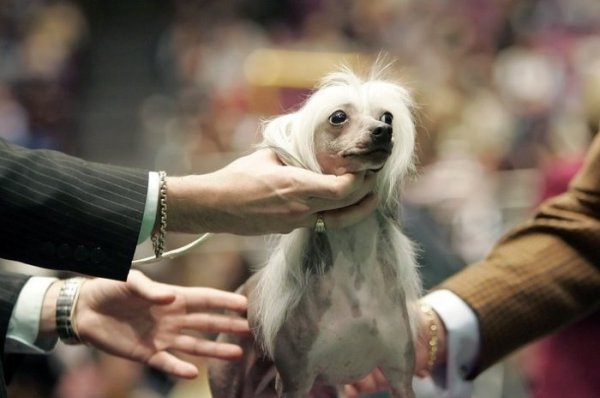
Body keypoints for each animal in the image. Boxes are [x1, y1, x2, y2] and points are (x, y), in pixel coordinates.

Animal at [209, 66, 420, 398]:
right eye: (338, 117)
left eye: (387, 117)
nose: (383, 131)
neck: (356, 270)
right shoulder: (295, 382)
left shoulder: (400, 376)